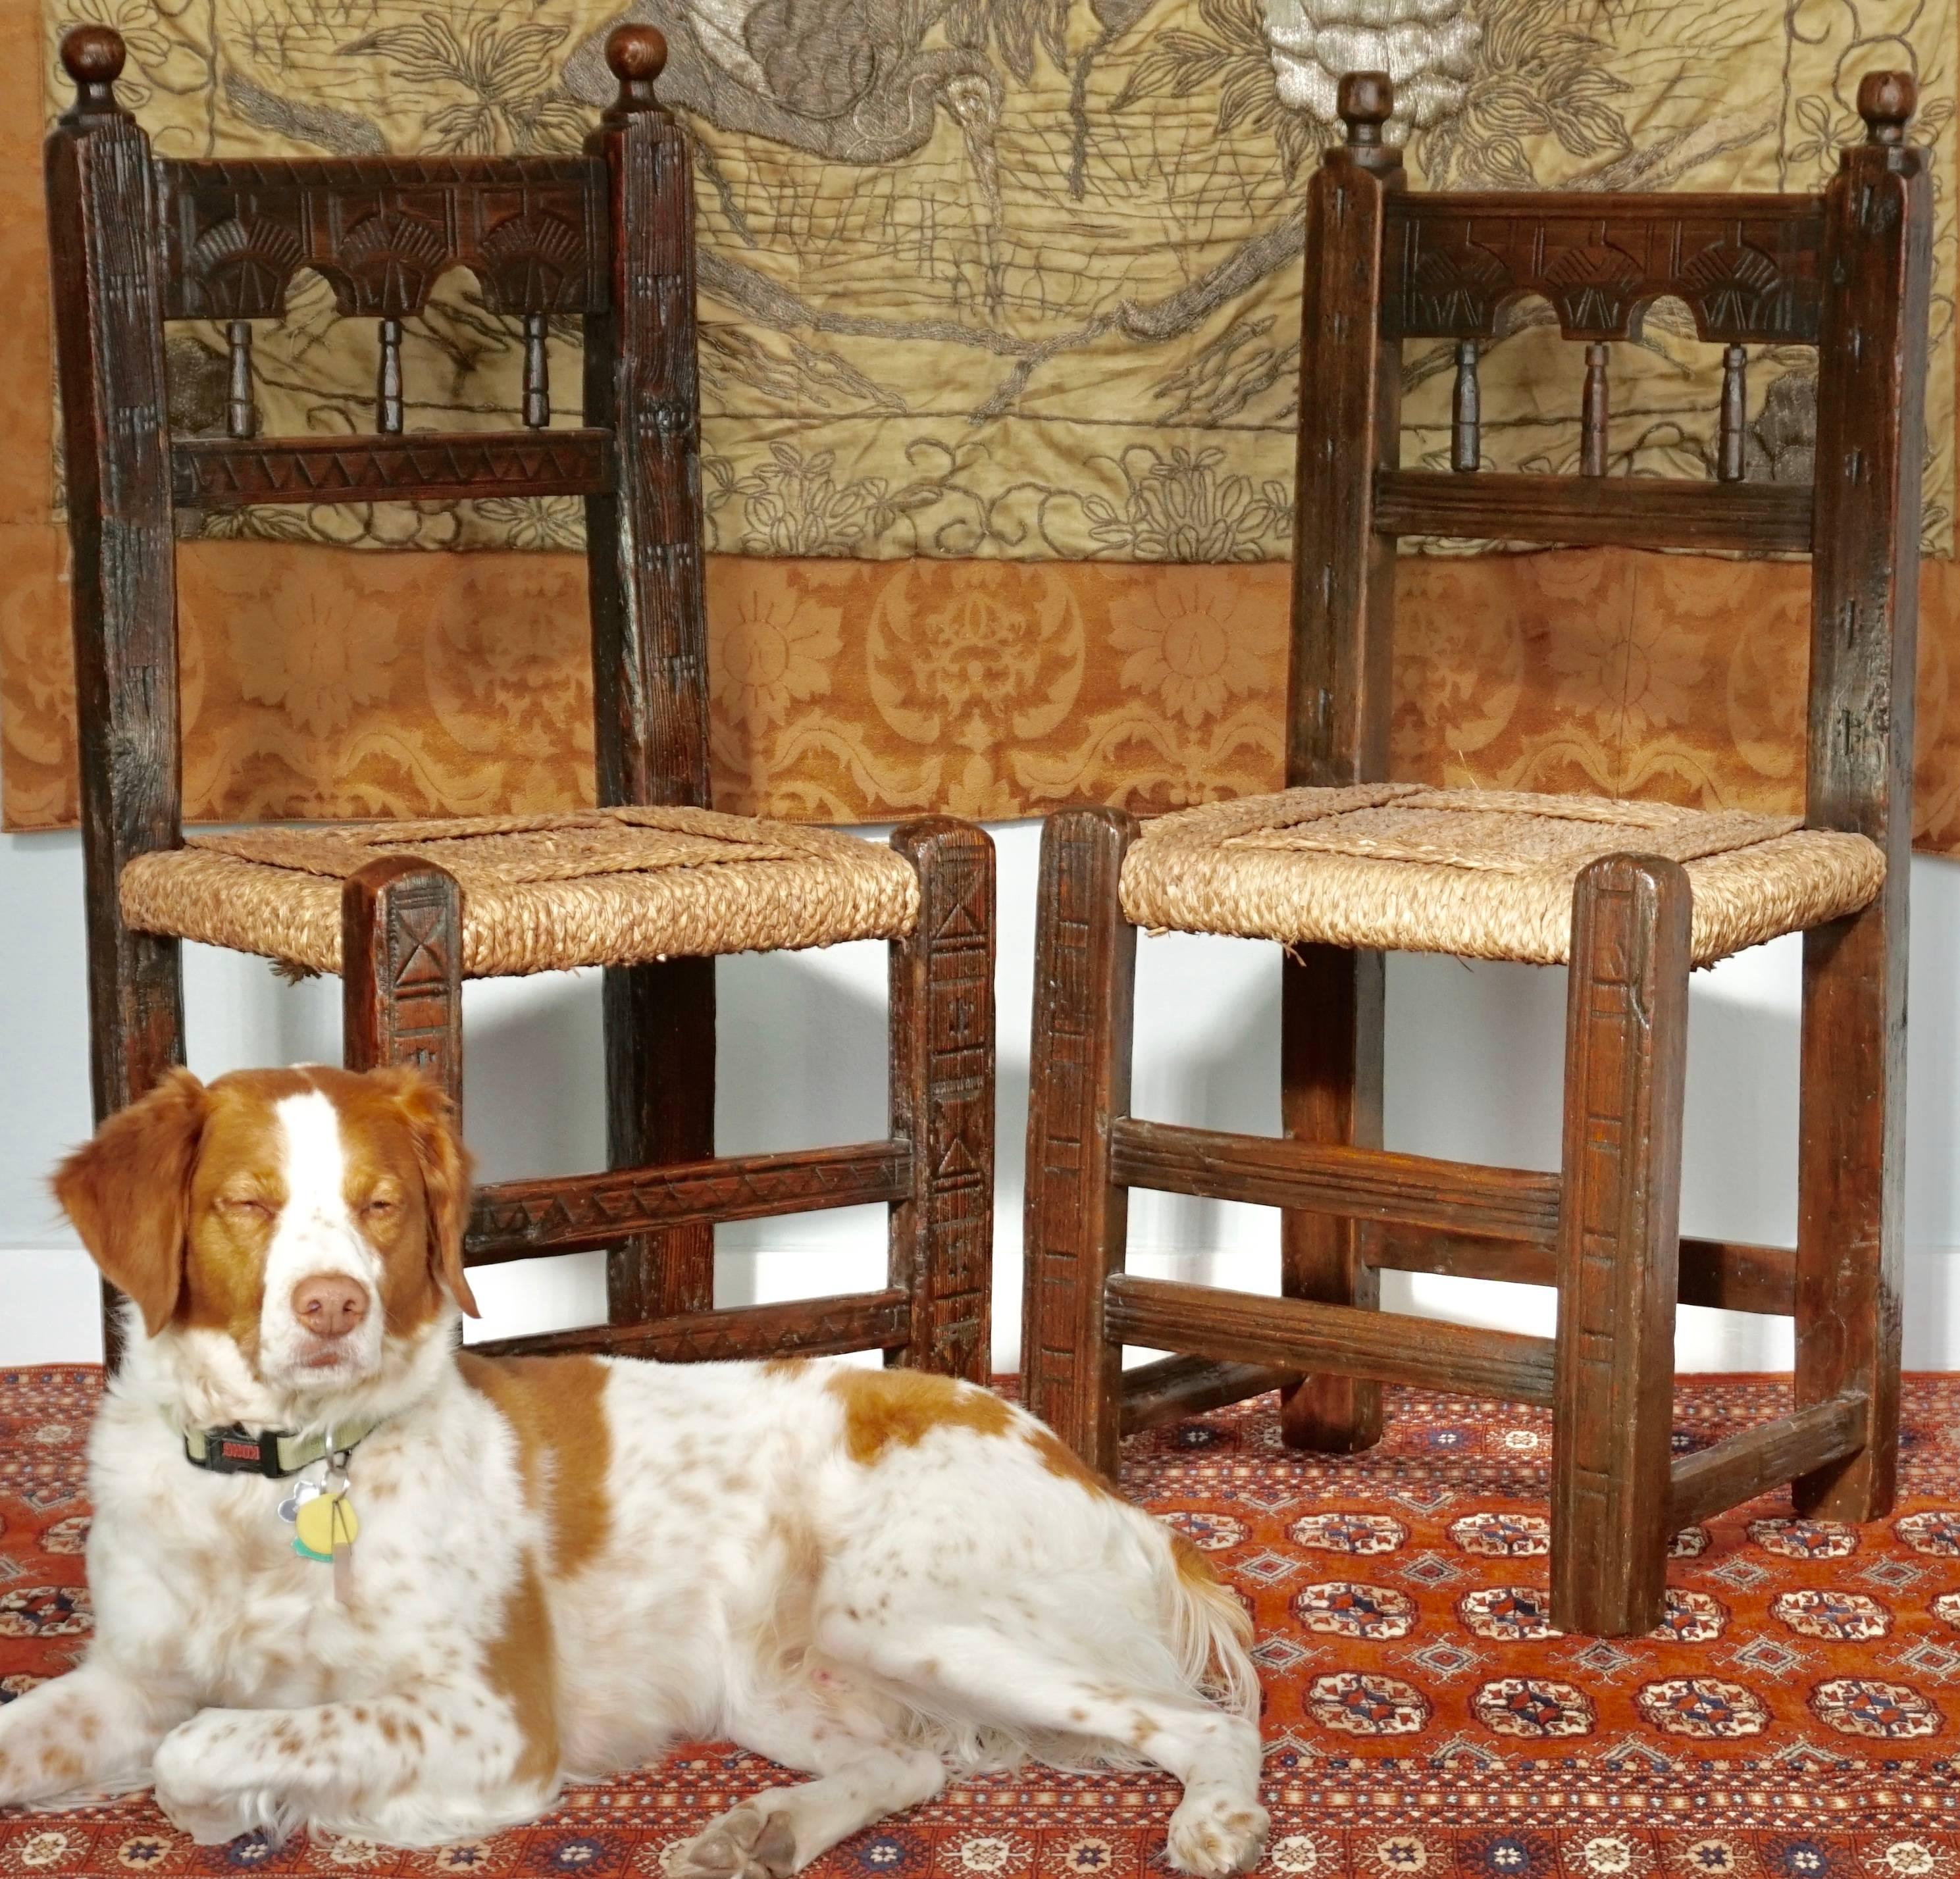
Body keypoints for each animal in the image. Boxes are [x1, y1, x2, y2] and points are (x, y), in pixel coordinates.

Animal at [3, 1066, 1270, 1873]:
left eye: (382, 1205)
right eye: (248, 1202)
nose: (333, 1306)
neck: (277, 1476)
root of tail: (1090, 1475)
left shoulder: (495, 1719)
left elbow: (204, 1743)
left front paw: (247, 1813)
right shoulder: (130, 1676)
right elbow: (64, 1731)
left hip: (903, 1614)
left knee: (1200, 1721)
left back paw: (1217, 1823)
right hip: (779, 1679)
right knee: (914, 1766)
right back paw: (768, 1829)